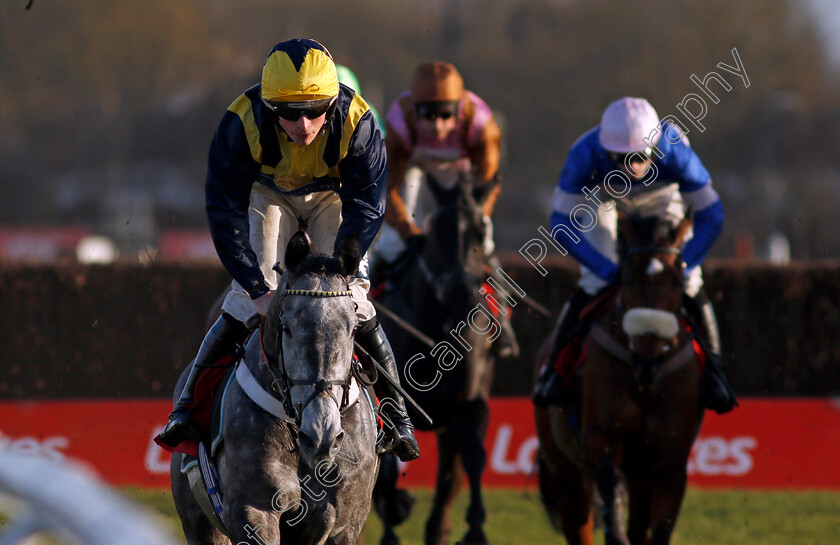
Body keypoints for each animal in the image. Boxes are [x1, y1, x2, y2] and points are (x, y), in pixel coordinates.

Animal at [171, 233, 380, 544]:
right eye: (288, 327)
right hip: (200, 523)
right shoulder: (254, 510)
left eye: (354, 329)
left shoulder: (343, 523)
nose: (321, 434)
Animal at [374, 177, 498, 544]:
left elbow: (473, 458)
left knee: (449, 475)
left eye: (479, 232)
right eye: (437, 233)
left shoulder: (470, 402)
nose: (461, 292)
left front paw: (475, 528)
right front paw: (394, 510)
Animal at [540, 211, 704, 544]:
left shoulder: (671, 458)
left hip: (638, 474)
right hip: (563, 470)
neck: (646, 384)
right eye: (627, 280)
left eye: (677, 281)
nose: (648, 359)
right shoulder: (602, 438)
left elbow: (659, 530)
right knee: (579, 525)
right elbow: (612, 511)